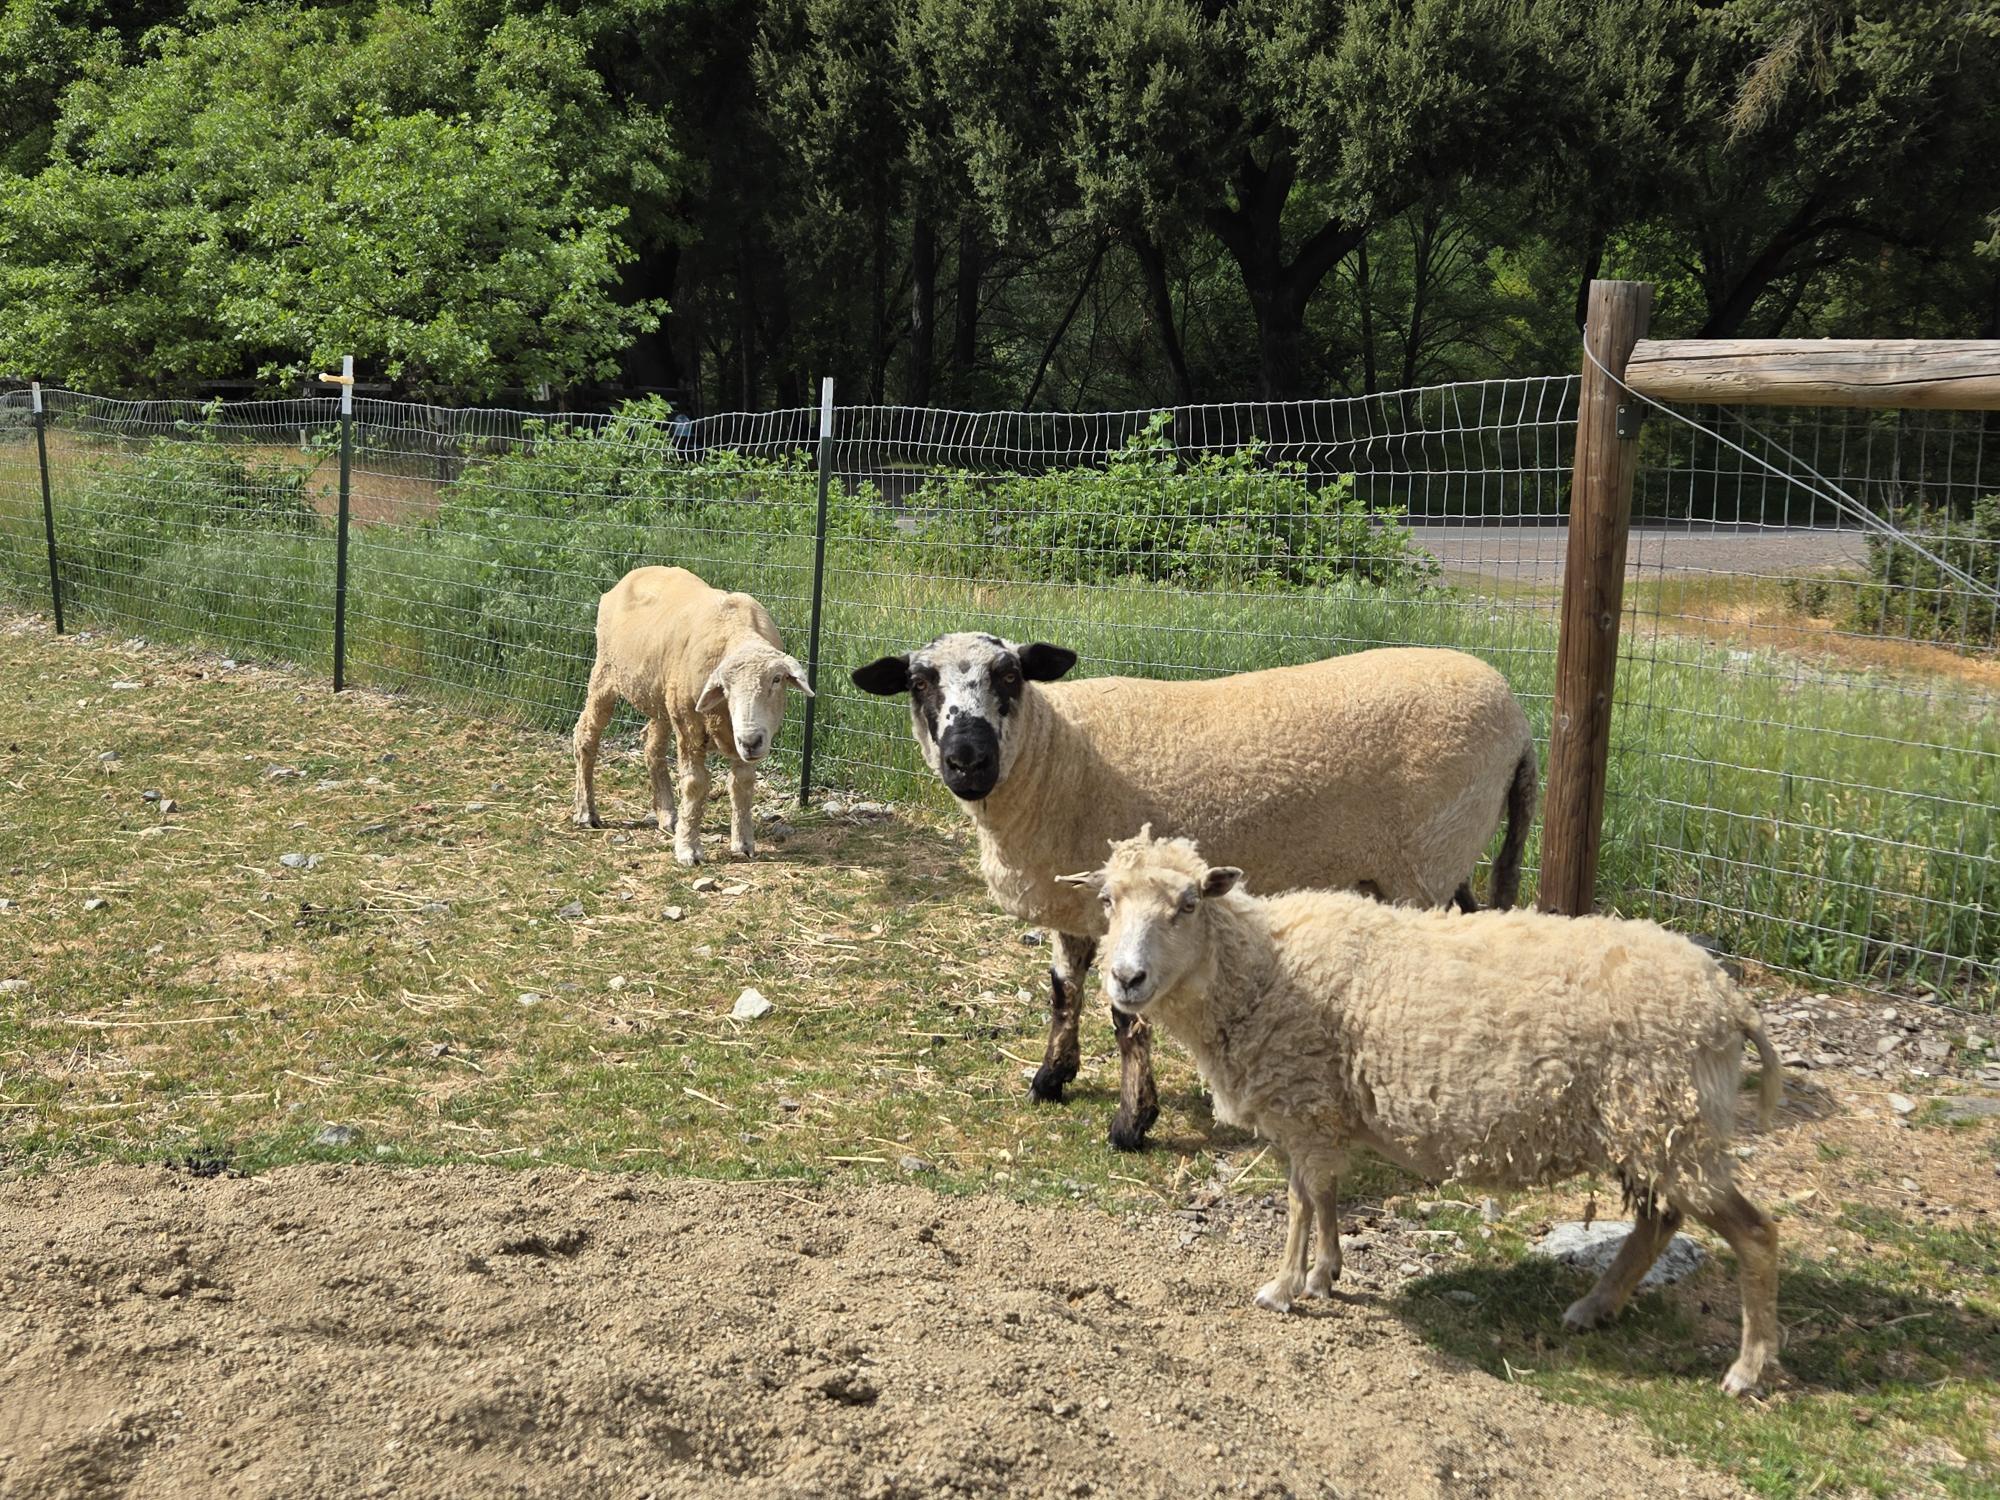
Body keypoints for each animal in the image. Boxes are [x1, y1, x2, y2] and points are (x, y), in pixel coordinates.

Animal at [572, 566, 811, 865]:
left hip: (661, 697)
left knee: (652, 746)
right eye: (726, 687)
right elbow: (694, 784)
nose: (751, 741)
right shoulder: (688, 722)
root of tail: (635, 573)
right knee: (586, 735)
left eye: (777, 680)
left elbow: (742, 783)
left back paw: (667, 815)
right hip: (607, 674)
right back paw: (586, 811)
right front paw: (688, 849)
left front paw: (743, 843)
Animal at [850, 633, 1538, 1151]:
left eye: (1011, 675)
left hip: (1428, 855)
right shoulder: (1076, 899)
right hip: (1448, 858)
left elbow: (1125, 1017)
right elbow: (1063, 990)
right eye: (919, 683)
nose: (968, 759)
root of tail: (1521, 724)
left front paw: (1131, 1124)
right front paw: (1052, 1078)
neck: (1055, 755)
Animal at [1064, 828, 1785, 1397]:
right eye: (1107, 901)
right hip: (1653, 1125)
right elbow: (1324, 1196)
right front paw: (1325, 1273)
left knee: (1754, 1233)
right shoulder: (1321, 1107)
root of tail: (1729, 1002)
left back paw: (1746, 1369)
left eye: (1187, 905)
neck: (1262, 966)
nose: (1125, 979)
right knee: (1660, 1220)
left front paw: (1283, 1287)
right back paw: (1596, 1306)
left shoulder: (1304, 1100)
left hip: (1671, 1121)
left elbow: (1299, 1201)